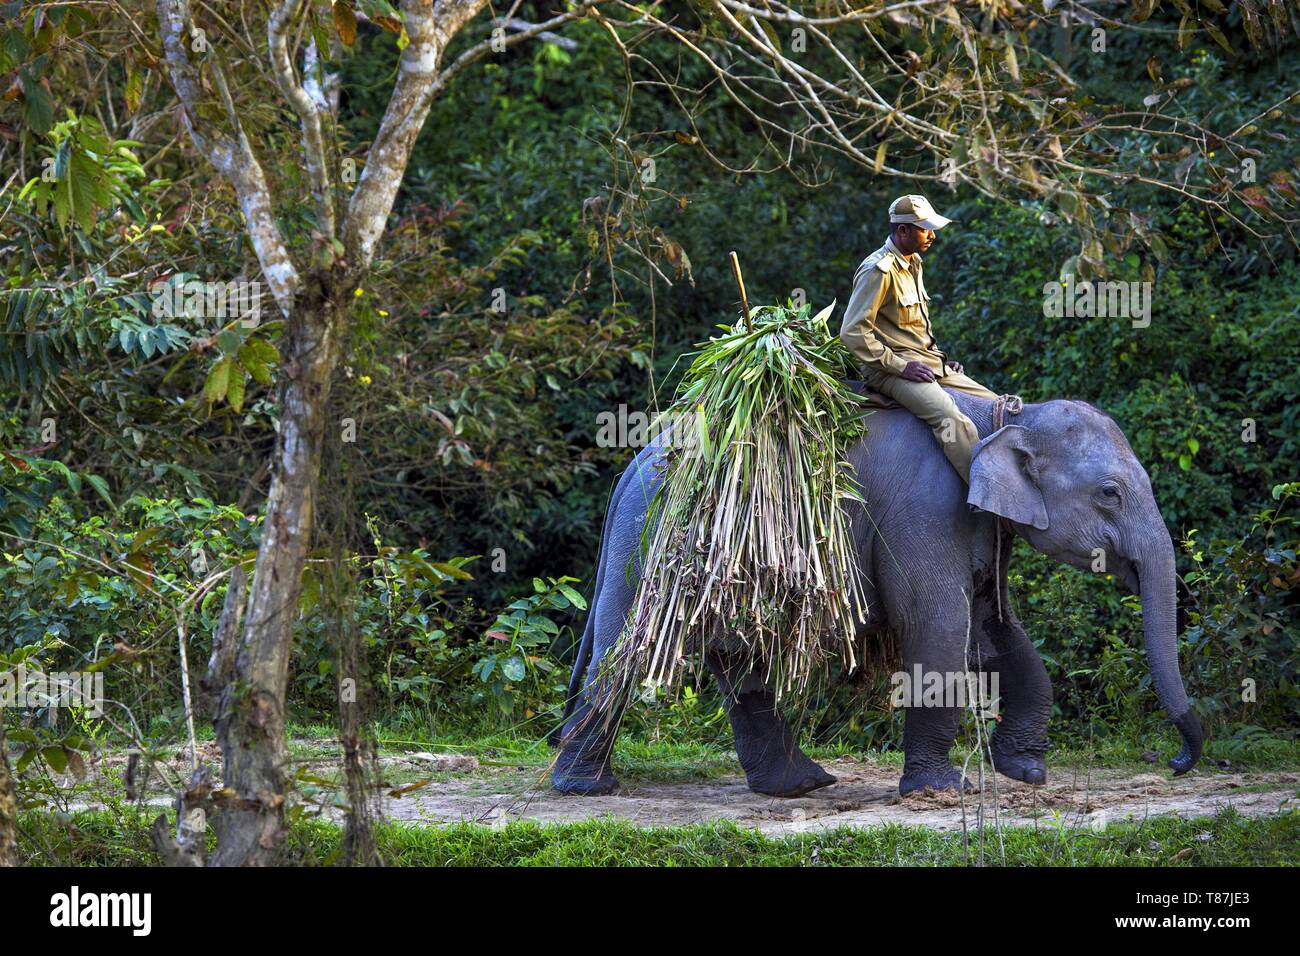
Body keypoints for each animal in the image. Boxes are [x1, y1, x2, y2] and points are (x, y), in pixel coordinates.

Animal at [546, 387, 1196, 801]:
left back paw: (800, 785)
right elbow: (940, 626)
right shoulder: (926, 511)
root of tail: (631, 468)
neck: (1003, 415)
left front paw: (1025, 772)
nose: (1177, 762)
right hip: (650, 537)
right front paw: (941, 791)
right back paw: (585, 787)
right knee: (625, 650)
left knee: (738, 654)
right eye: (1110, 493)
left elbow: (996, 632)